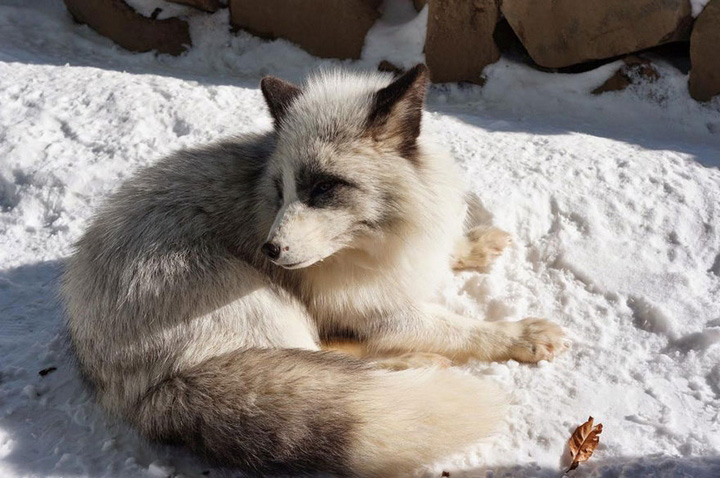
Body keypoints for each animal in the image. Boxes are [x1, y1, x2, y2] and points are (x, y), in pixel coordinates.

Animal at [63, 64, 568, 478]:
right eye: (280, 190)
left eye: (324, 187)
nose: (269, 249)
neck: (378, 243)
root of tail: (146, 395)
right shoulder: (383, 311)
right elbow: (461, 328)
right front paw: (520, 334)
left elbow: (444, 255)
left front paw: (472, 246)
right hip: (263, 300)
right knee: (323, 359)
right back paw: (411, 363)